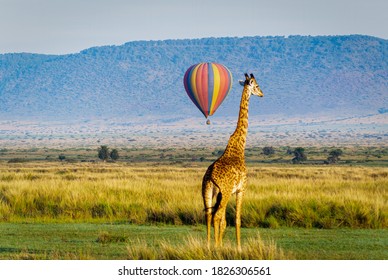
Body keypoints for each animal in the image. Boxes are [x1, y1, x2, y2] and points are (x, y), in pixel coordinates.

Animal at [203, 72, 264, 249]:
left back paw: (208, 245)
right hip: (224, 191)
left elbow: (225, 221)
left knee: (209, 214)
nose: (262, 94)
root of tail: (210, 176)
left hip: (208, 190)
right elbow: (237, 219)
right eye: (257, 85)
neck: (239, 146)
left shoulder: (227, 192)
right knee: (217, 215)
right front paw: (238, 248)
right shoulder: (241, 189)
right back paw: (216, 246)